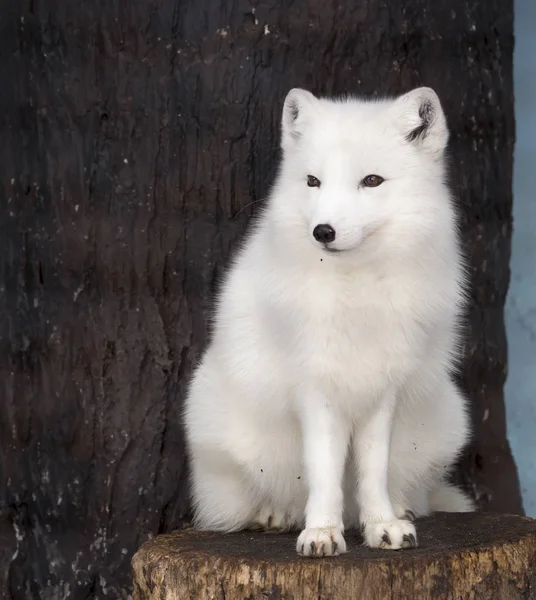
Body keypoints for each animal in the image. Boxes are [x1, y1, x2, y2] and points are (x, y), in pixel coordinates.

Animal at [183, 86, 474, 556]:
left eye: (371, 181)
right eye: (312, 182)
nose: (323, 231)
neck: (357, 294)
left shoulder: (381, 390)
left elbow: (372, 471)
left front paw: (382, 525)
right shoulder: (315, 390)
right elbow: (324, 472)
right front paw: (321, 532)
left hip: (450, 417)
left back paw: (401, 508)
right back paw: (275, 515)